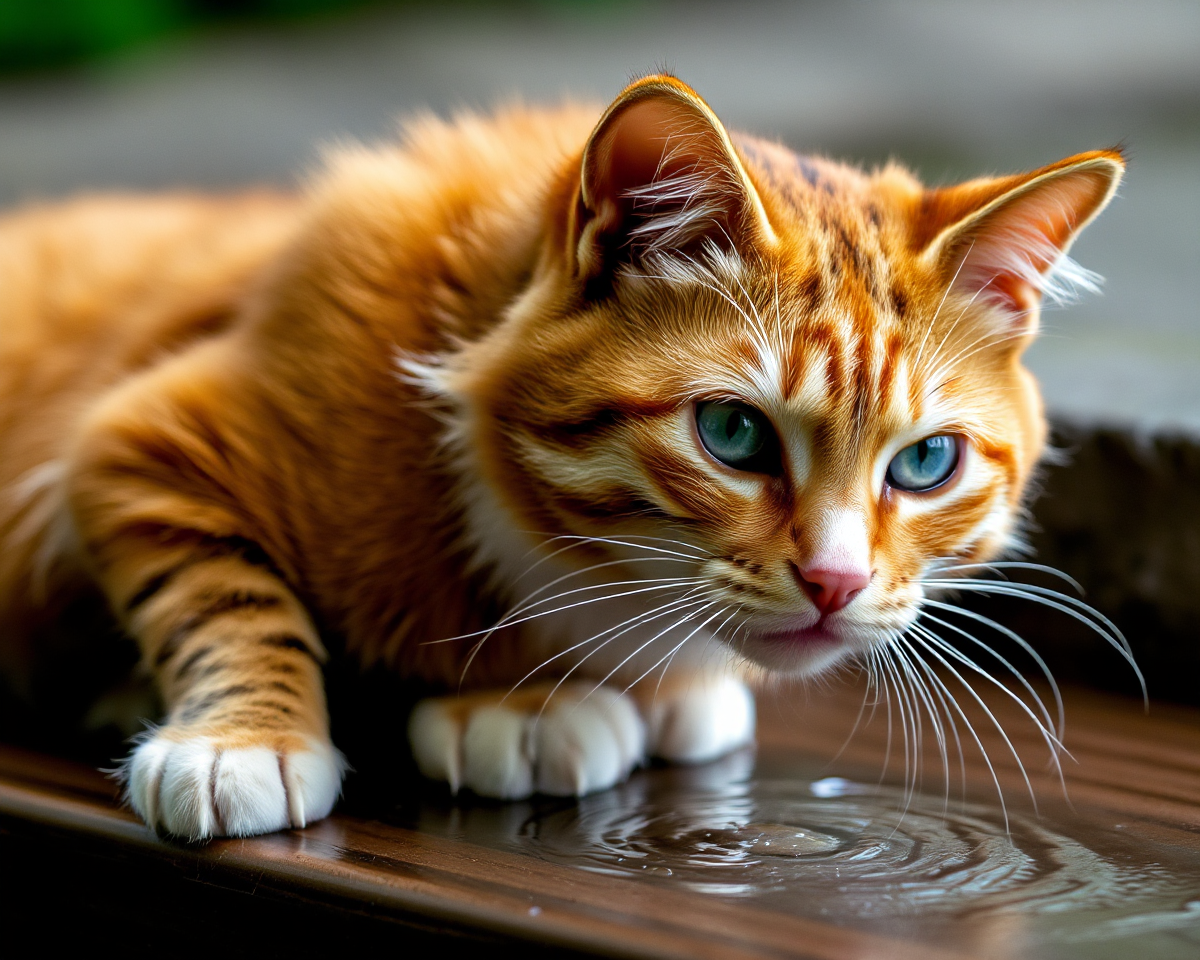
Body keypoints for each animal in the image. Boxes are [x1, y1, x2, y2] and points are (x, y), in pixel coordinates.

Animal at [0, 75, 1123, 840]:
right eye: (735, 434)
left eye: (926, 462)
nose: (837, 583)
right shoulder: (132, 439)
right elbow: (227, 598)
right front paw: (246, 742)